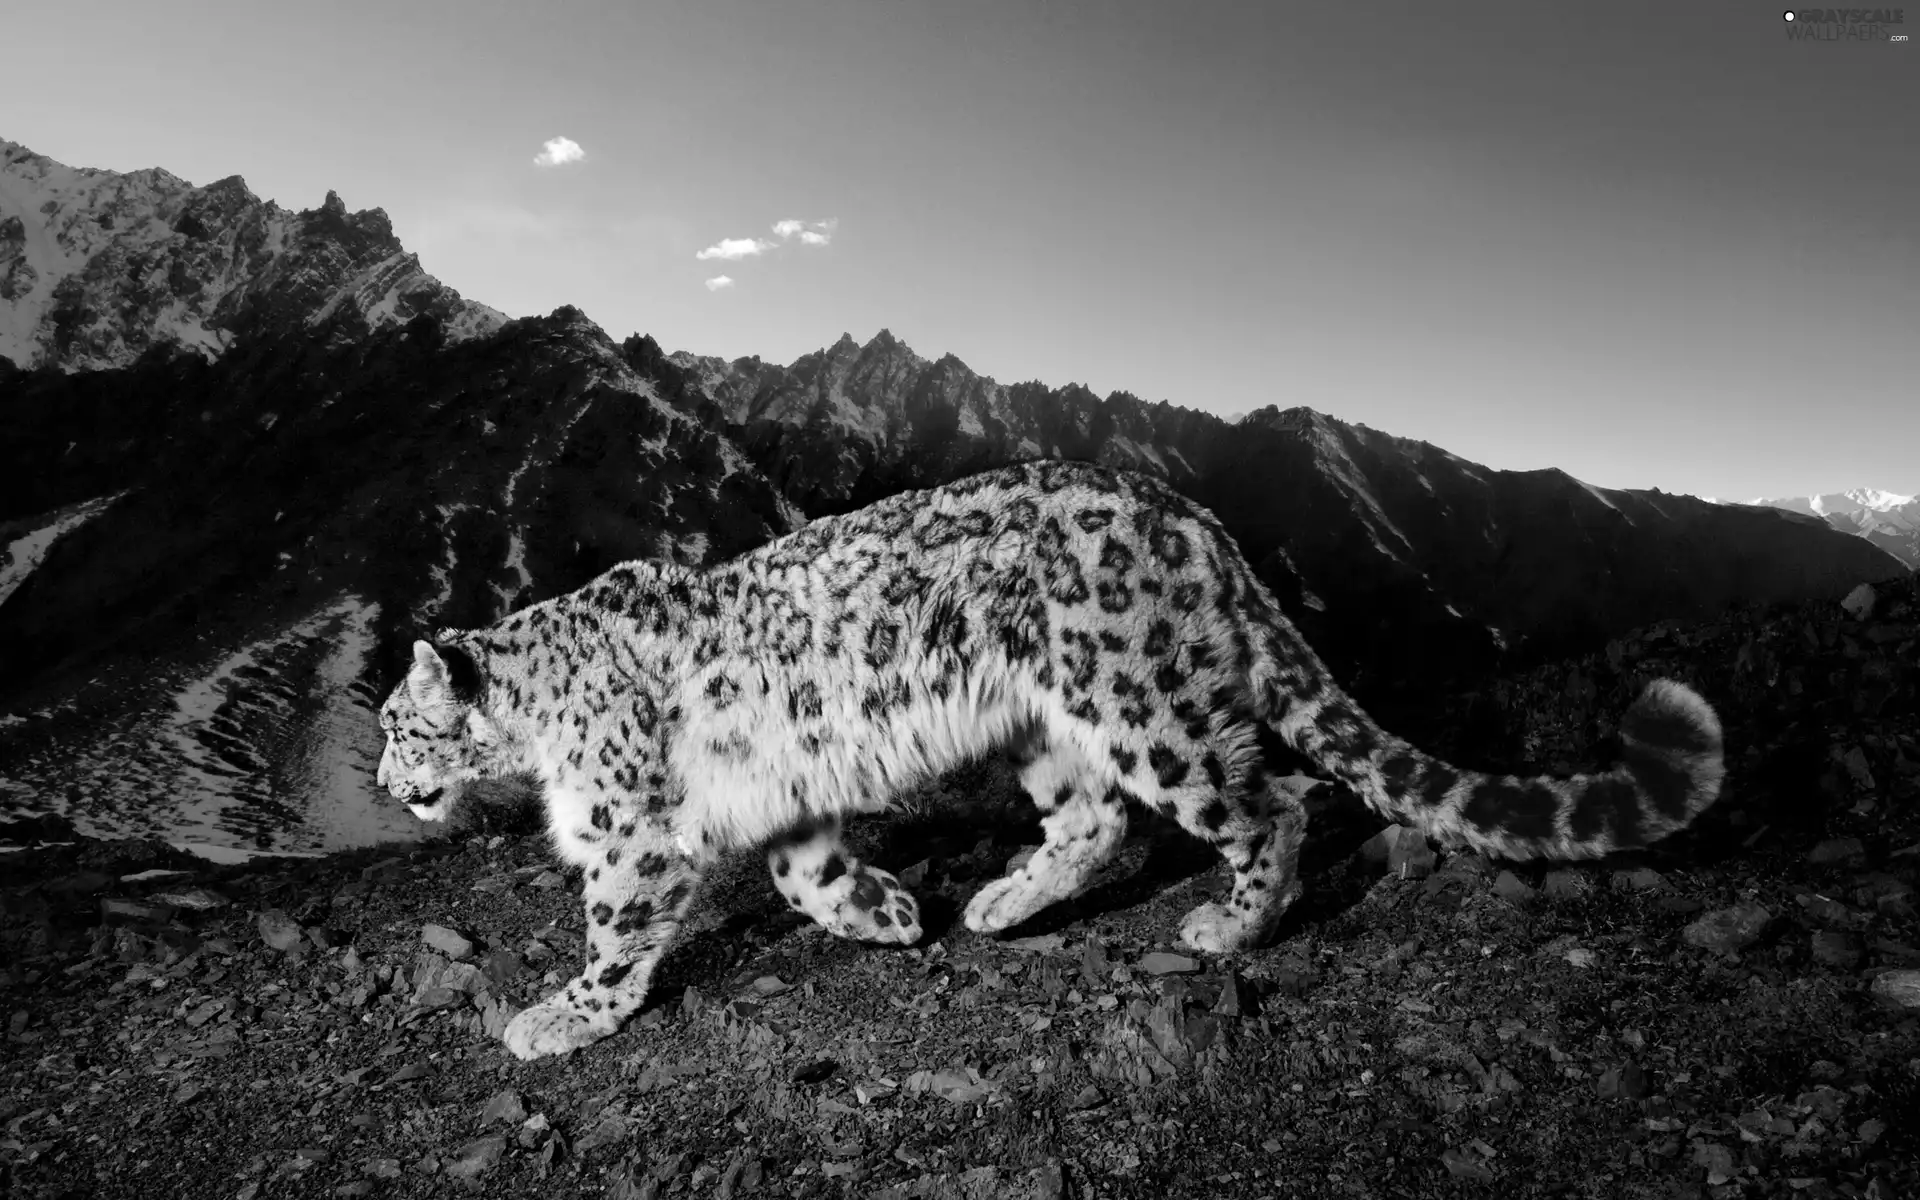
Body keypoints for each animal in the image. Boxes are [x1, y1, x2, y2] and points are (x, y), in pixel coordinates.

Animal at [374, 456, 1728, 1059]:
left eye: (394, 725)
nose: (385, 783)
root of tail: (1198, 520)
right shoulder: (788, 801)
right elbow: (803, 876)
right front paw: (887, 914)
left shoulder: (630, 833)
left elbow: (615, 929)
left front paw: (560, 1016)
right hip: (1043, 727)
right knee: (1098, 821)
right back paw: (995, 903)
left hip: (1141, 705)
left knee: (1269, 802)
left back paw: (1226, 927)